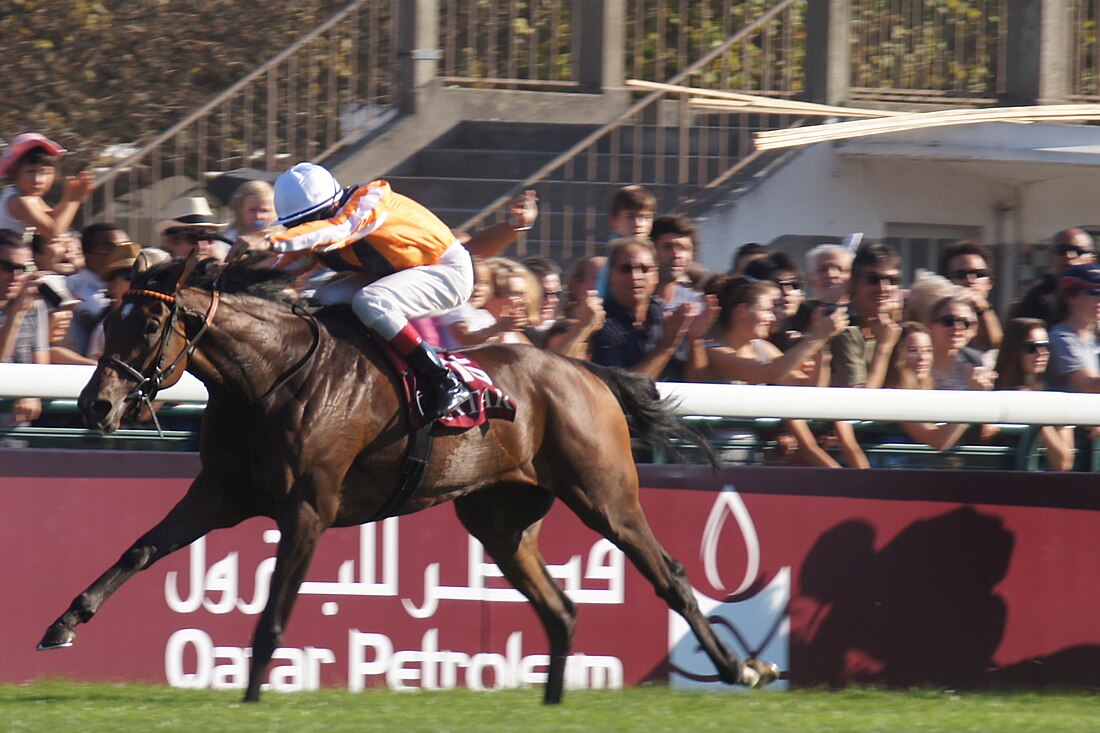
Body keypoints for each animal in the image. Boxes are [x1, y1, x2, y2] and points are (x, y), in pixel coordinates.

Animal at [38, 254, 778, 699]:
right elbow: (140, 549)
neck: (268, 379)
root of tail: (585, 369)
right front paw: (63, 623)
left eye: (150, 323)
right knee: (561, 608)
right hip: (499, 522)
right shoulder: (220, 493)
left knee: (670, 574)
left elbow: (274, 613)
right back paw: (552, 700)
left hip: (604, 495)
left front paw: (250, 695)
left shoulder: (308, 507)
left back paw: (740, 666)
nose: (94, 405)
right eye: (112, 318)